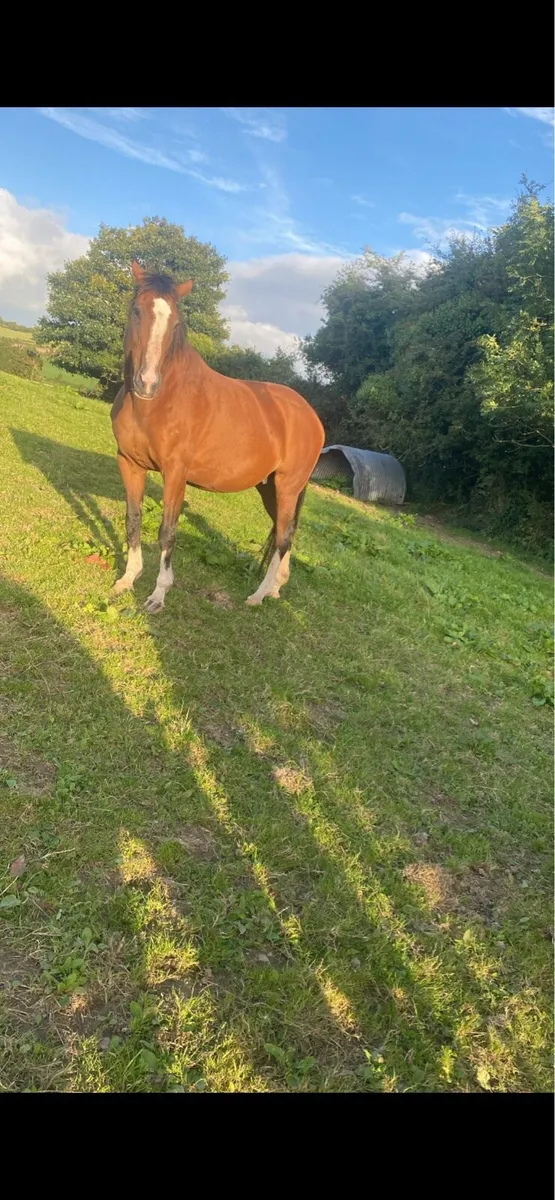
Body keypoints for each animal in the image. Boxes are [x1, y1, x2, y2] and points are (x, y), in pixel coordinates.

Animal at [111, 261, 325, 614]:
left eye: (176, 322)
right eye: (136, 311)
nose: (147, 383)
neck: (160, 401)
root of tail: (311, 417)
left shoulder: (175, 474)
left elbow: (167, 532)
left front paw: (158, 595)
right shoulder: (129, 464)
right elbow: (133, 519)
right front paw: (127, 579)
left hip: (288, 486)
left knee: (282, 537)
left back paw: (257, 595)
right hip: (271, 488)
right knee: (287, 532)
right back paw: (276, 589)